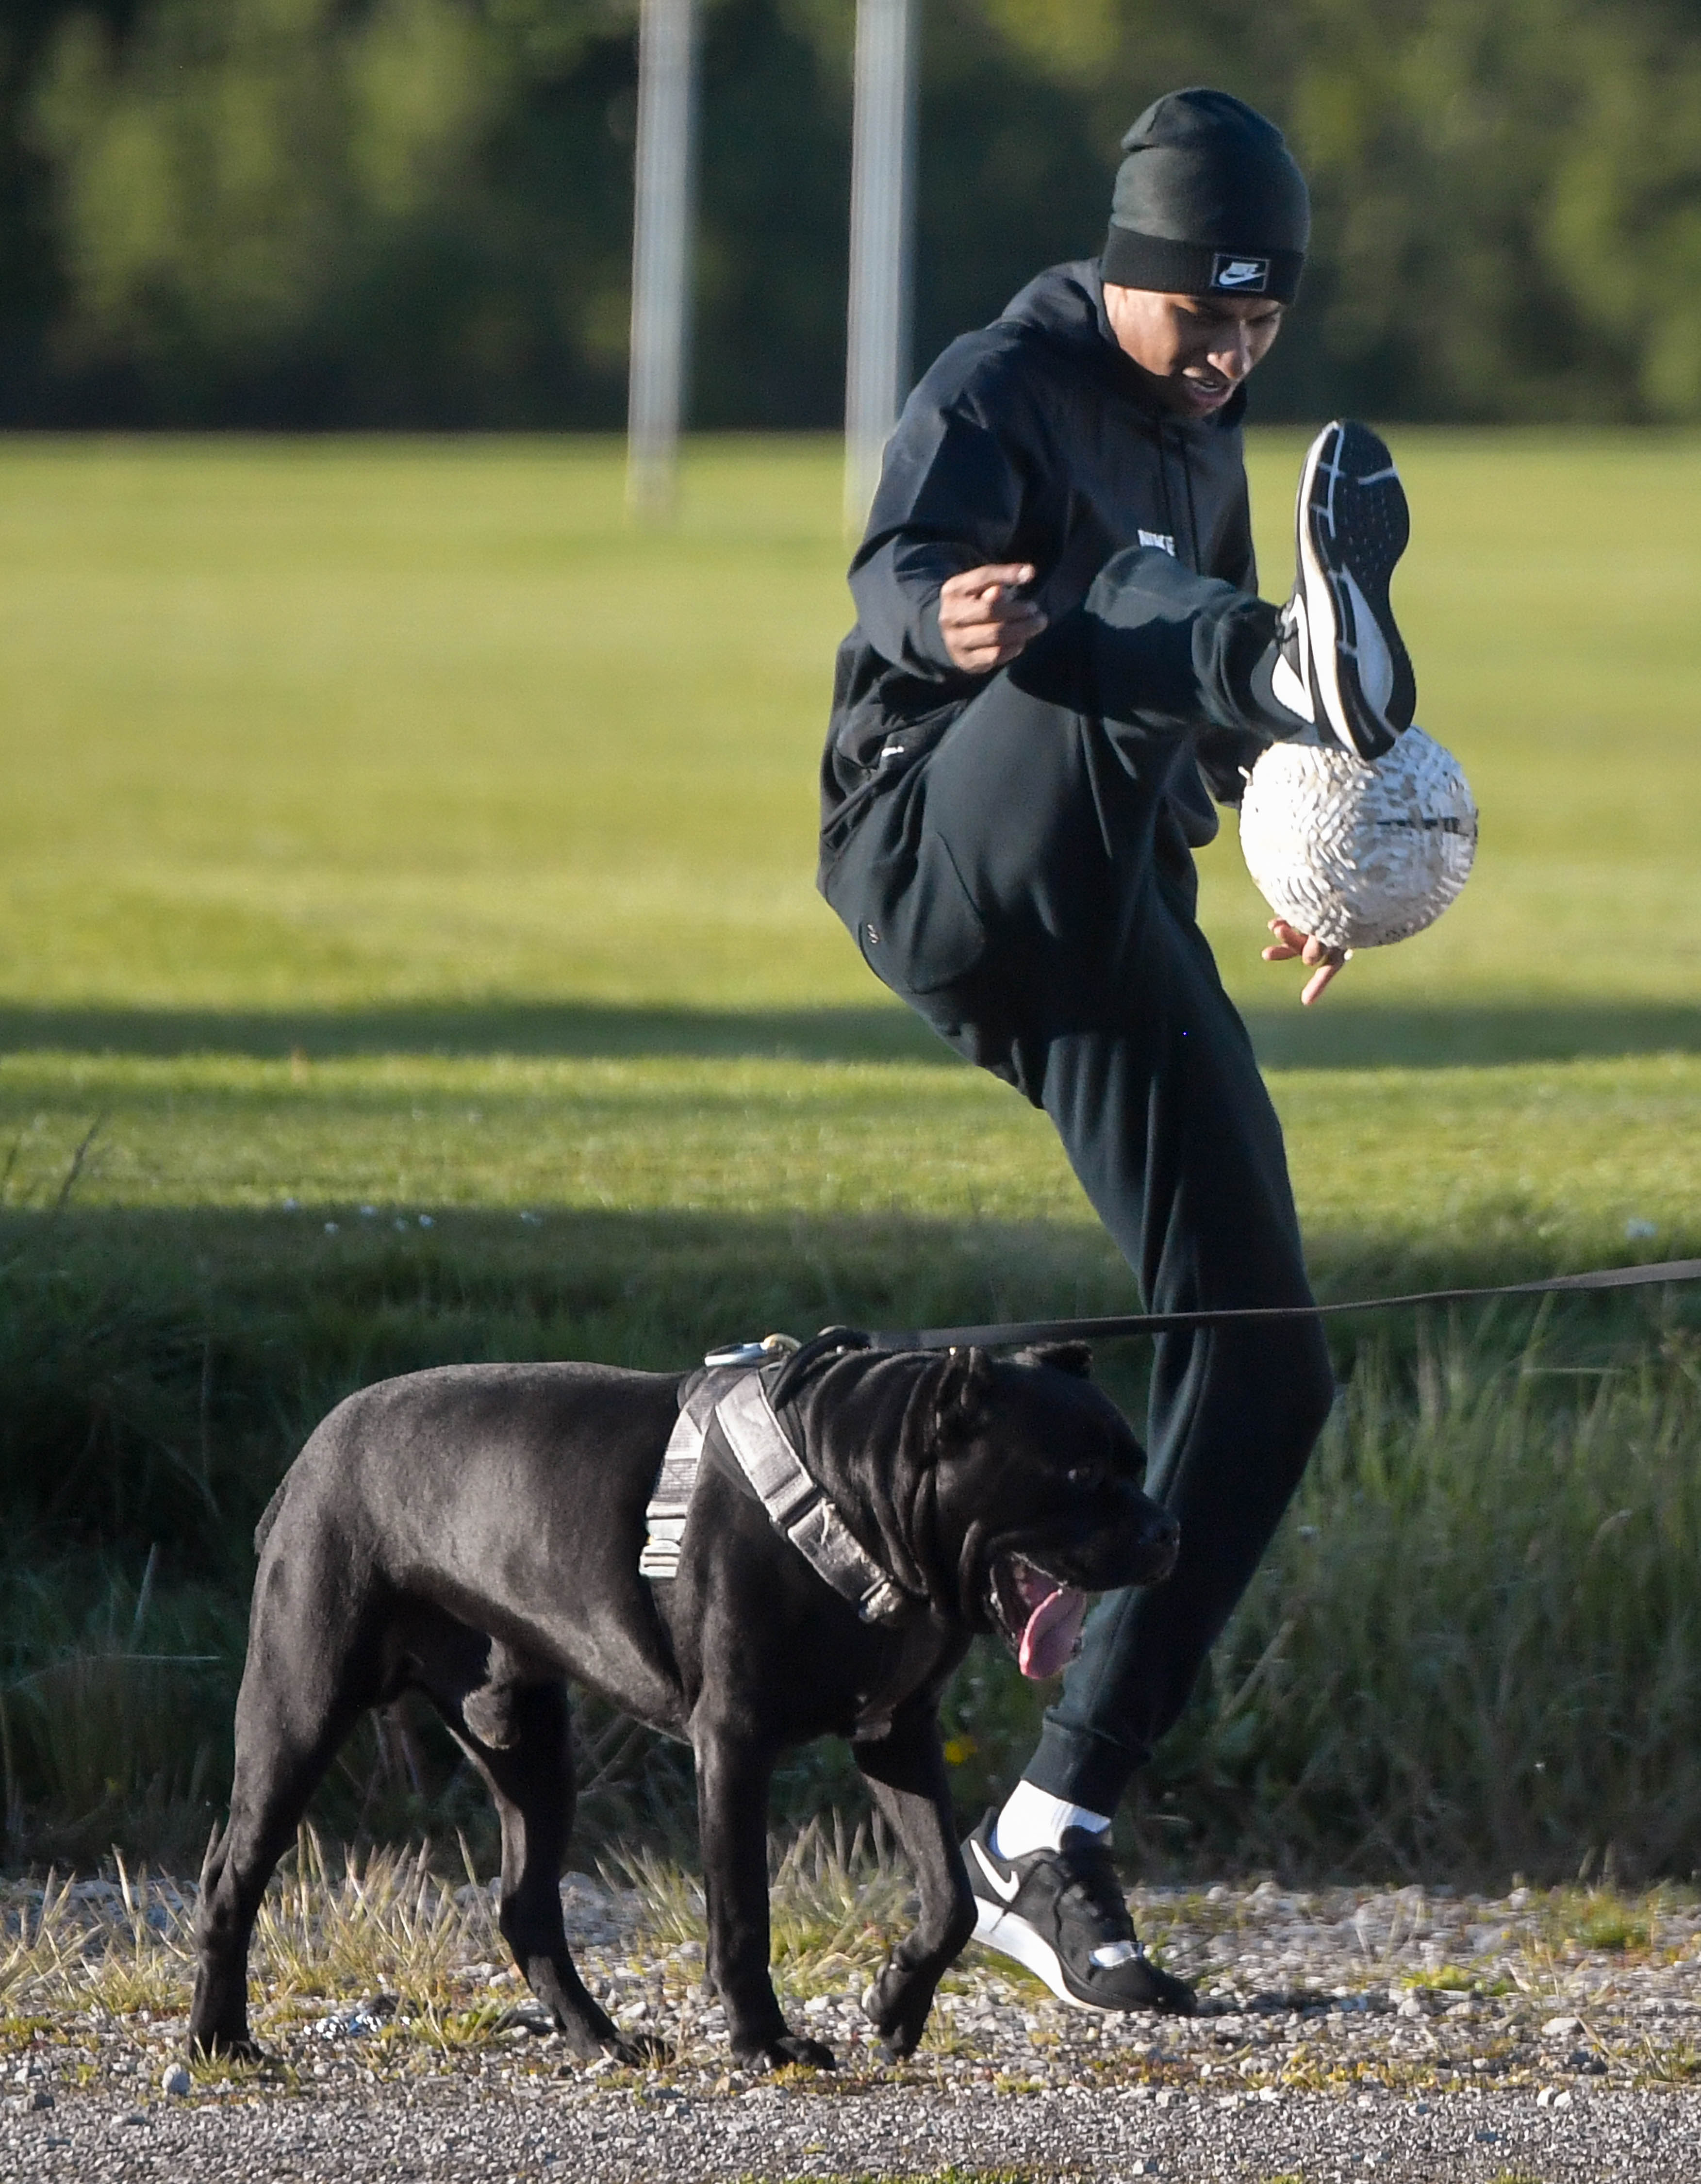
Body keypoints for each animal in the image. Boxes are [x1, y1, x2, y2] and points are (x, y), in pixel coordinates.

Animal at [186, 1328, 1170, 2062]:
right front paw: (765, 2041)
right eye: (1081, 1478)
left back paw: (599, 2040)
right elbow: (741, 1913)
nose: (1166, 1530)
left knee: (526, 1906)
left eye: (1136, 1463)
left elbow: (951, 1897)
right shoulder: (734, 1742)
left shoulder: (898, 1735)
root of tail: (312, 1455)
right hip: (299, 1709)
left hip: (529, 1749)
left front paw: (897, 2002)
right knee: (232, 1876)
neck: (857, 1490)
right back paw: (220, 2038)